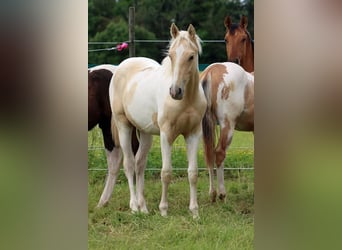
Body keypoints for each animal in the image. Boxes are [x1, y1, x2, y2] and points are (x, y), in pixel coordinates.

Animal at [109, 23, 206, 219]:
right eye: (171, 55)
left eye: (191, 56)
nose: (175, 91)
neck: (187, 100)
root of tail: (121, 67)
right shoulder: (166, 134)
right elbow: (166, 172)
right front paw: (164, 210)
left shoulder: (193, 134)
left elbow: (193, 173)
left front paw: (194, 212)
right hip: (124, 126)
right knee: (129, 164)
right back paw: (134, 207)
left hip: (145, 133)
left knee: (139, 164)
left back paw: (143, 208)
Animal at [200, 61, 254, 202]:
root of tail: (211, 70)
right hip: (228, 125)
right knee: (219, 153)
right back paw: (222, 194)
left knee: (209, 155)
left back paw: (212, 194)